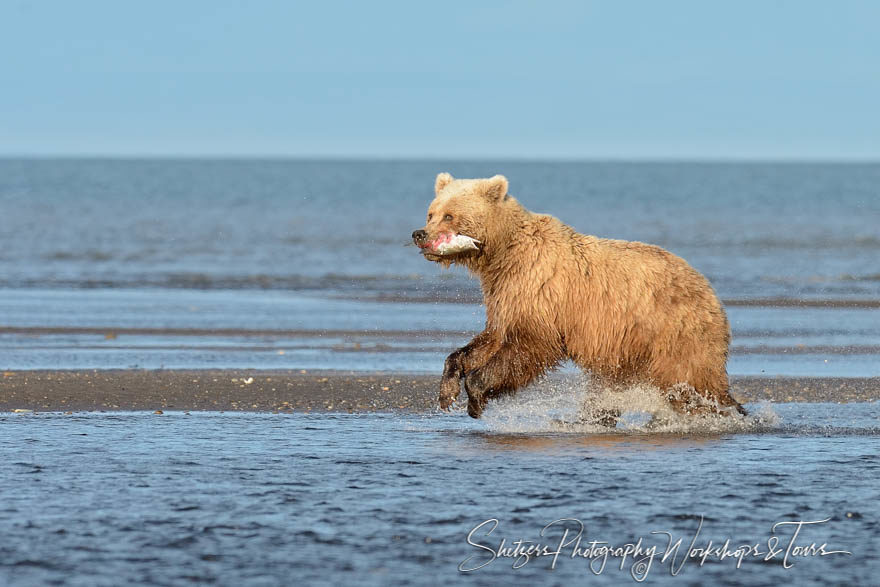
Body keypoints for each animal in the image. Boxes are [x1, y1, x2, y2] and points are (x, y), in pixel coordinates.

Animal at [412, 171, 744, 422]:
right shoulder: (505, 294)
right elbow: (489, 340)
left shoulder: (540, 289)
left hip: (674, 331)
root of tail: (712, 294)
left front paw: (476, 397)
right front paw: (448, 391)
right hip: (628, 347)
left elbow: (527, 348)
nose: (420, 234)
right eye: (431, 213)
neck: (502, 253)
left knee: (690, 381)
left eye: (450, 215)